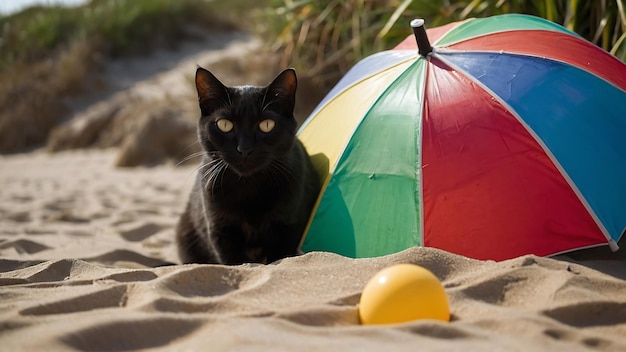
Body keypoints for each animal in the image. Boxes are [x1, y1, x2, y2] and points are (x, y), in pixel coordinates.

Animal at [177, 67, 320, 264]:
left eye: (267, 125)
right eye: (225, 125)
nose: (244, 149)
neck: (249, 187)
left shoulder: (287, 225)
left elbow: (279, 258)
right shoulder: (220, 229)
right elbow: (235, 262)